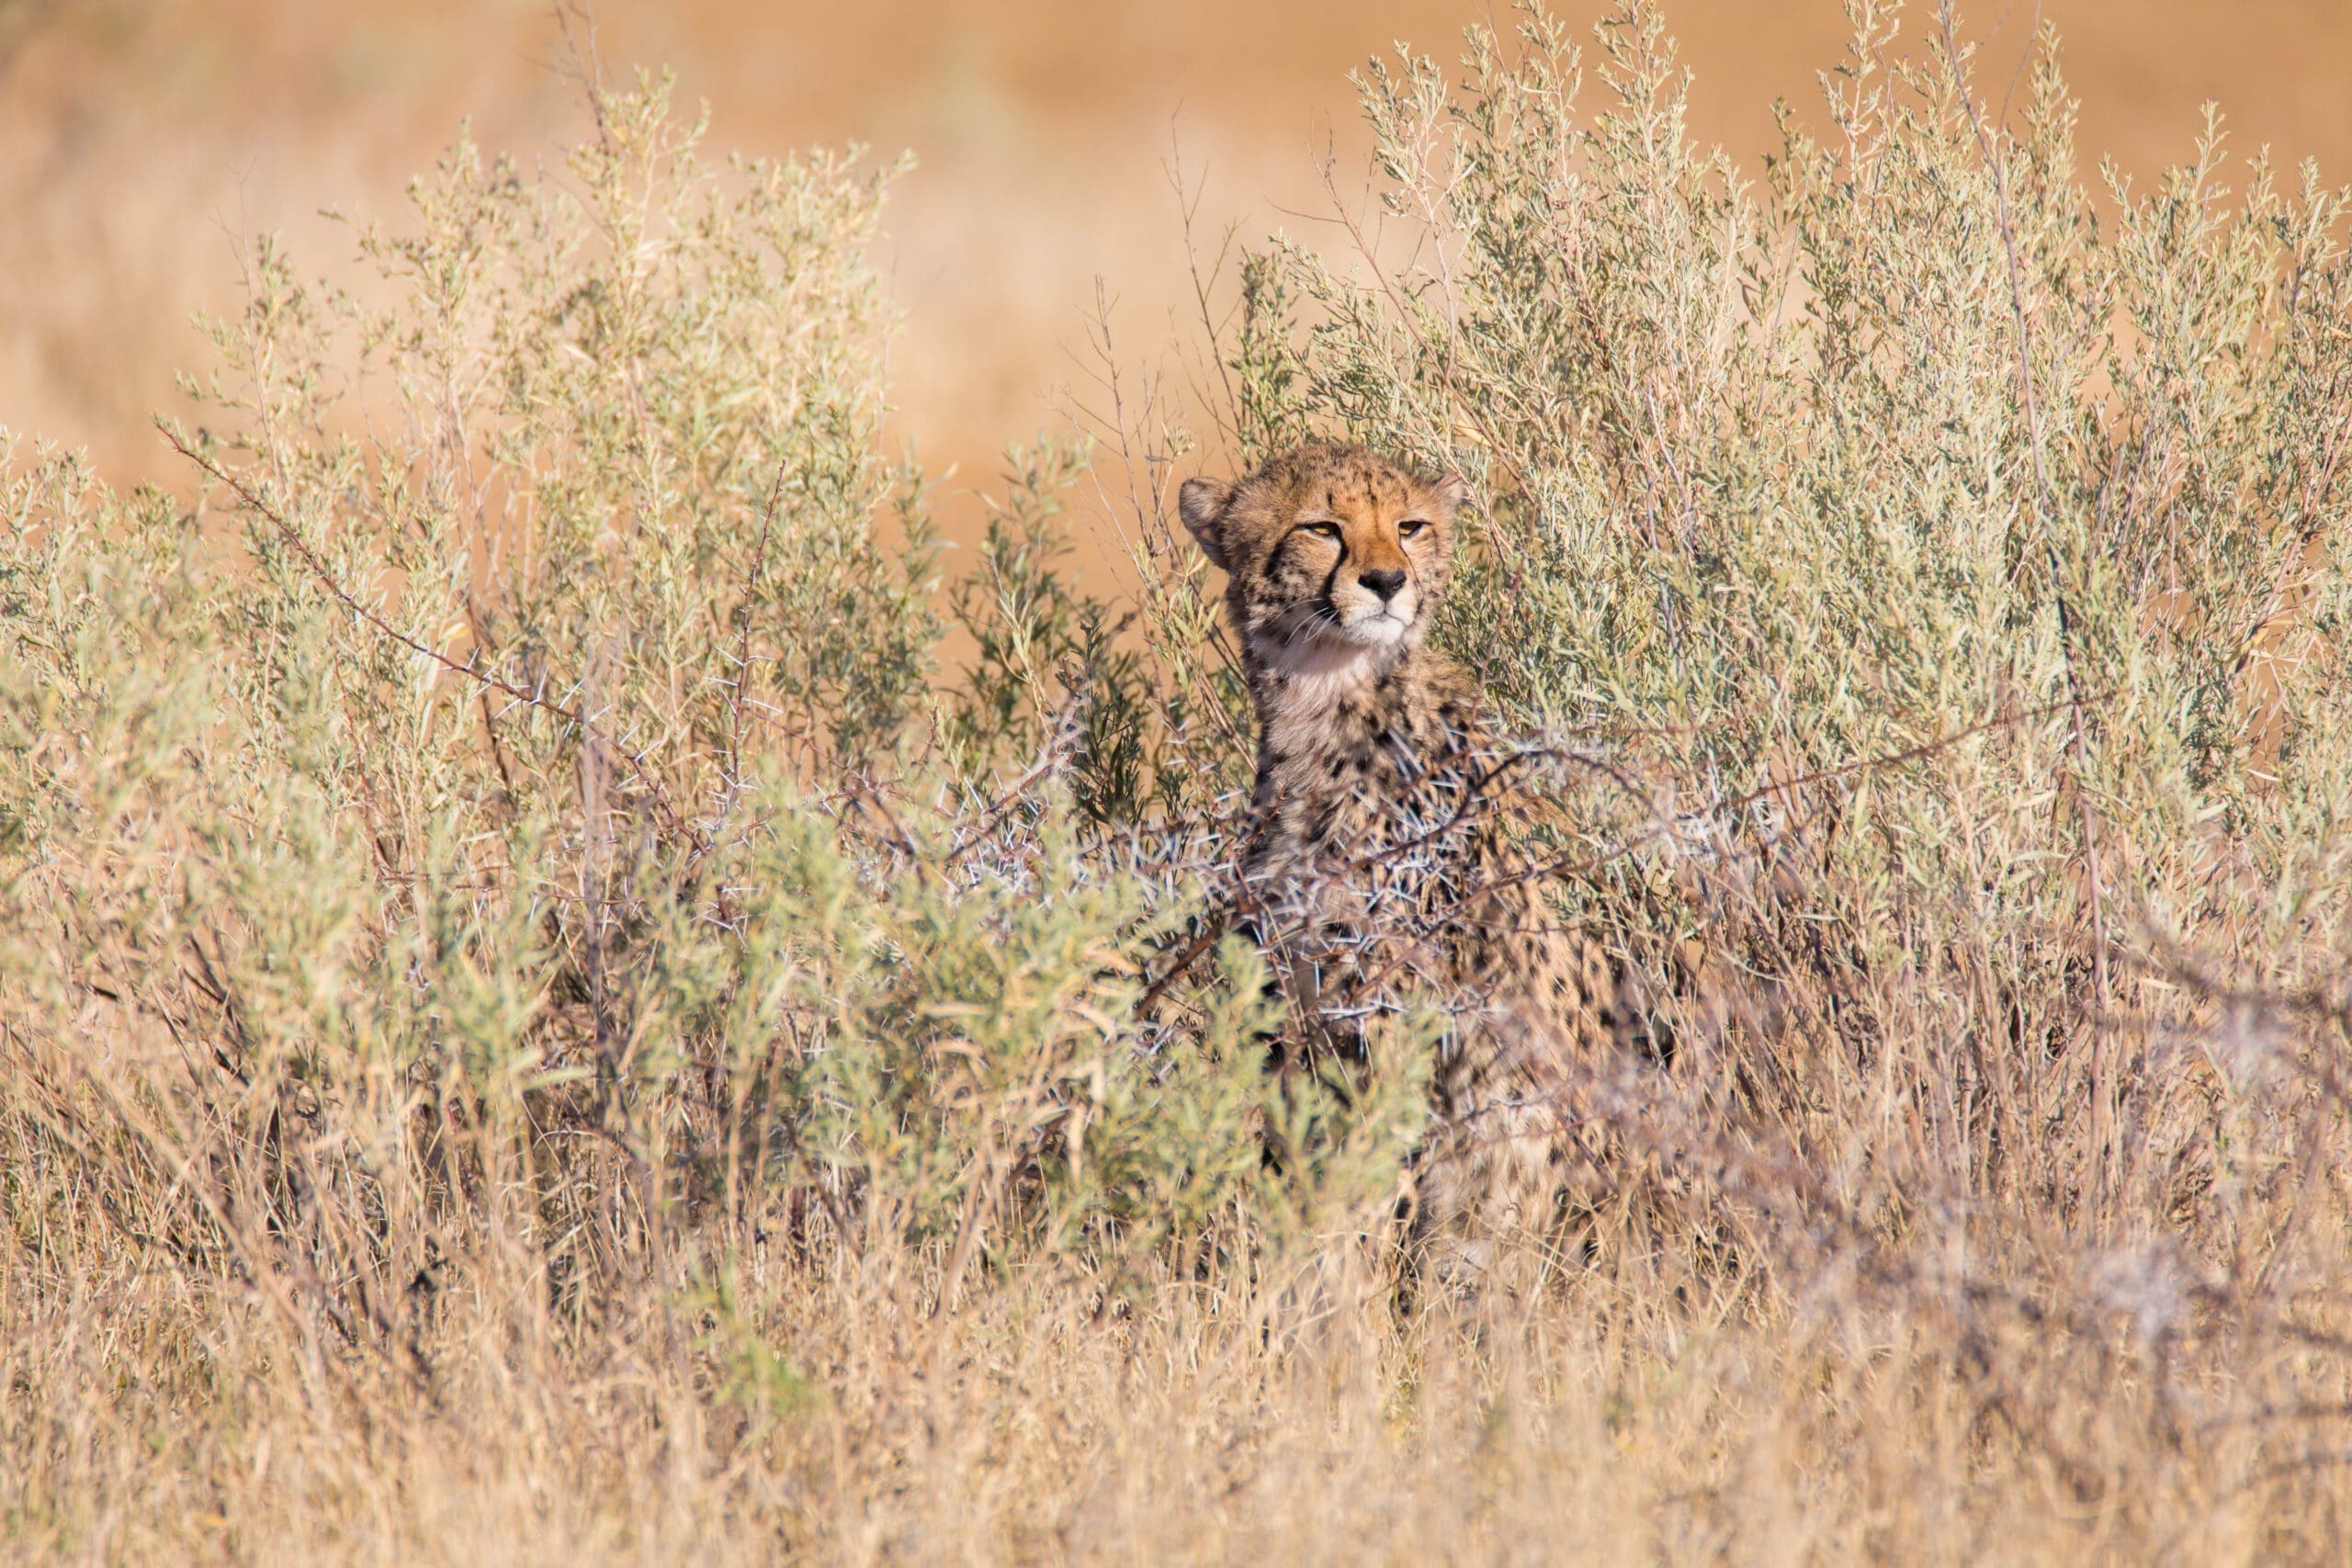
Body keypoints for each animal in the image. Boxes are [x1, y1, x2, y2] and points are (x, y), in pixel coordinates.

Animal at [1176, 444, 1636, 1297]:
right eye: (1321, 528)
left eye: (1410, 526)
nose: (1387, 580)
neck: (1324, 705)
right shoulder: (1295, 998)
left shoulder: (1393, 1013)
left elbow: (1359, 1181)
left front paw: (1334, 1305)